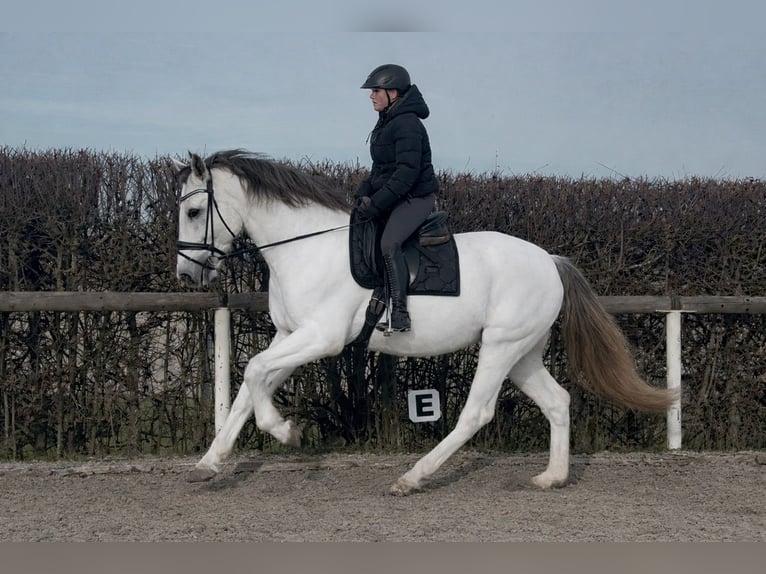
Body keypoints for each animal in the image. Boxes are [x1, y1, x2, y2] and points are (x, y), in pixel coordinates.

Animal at [173, 149, 676, 495]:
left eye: (194, 212)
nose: (186, 274)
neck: (304, 246)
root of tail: (549, 261)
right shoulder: (291, 335)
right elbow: (248, 386)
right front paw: (209, 463)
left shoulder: (322, 337)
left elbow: (255, 371)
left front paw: (285, 431)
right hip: (523, 353)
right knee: (557, 401)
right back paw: (552, 477)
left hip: (500, 347)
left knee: (477, 413)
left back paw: (413, 477)